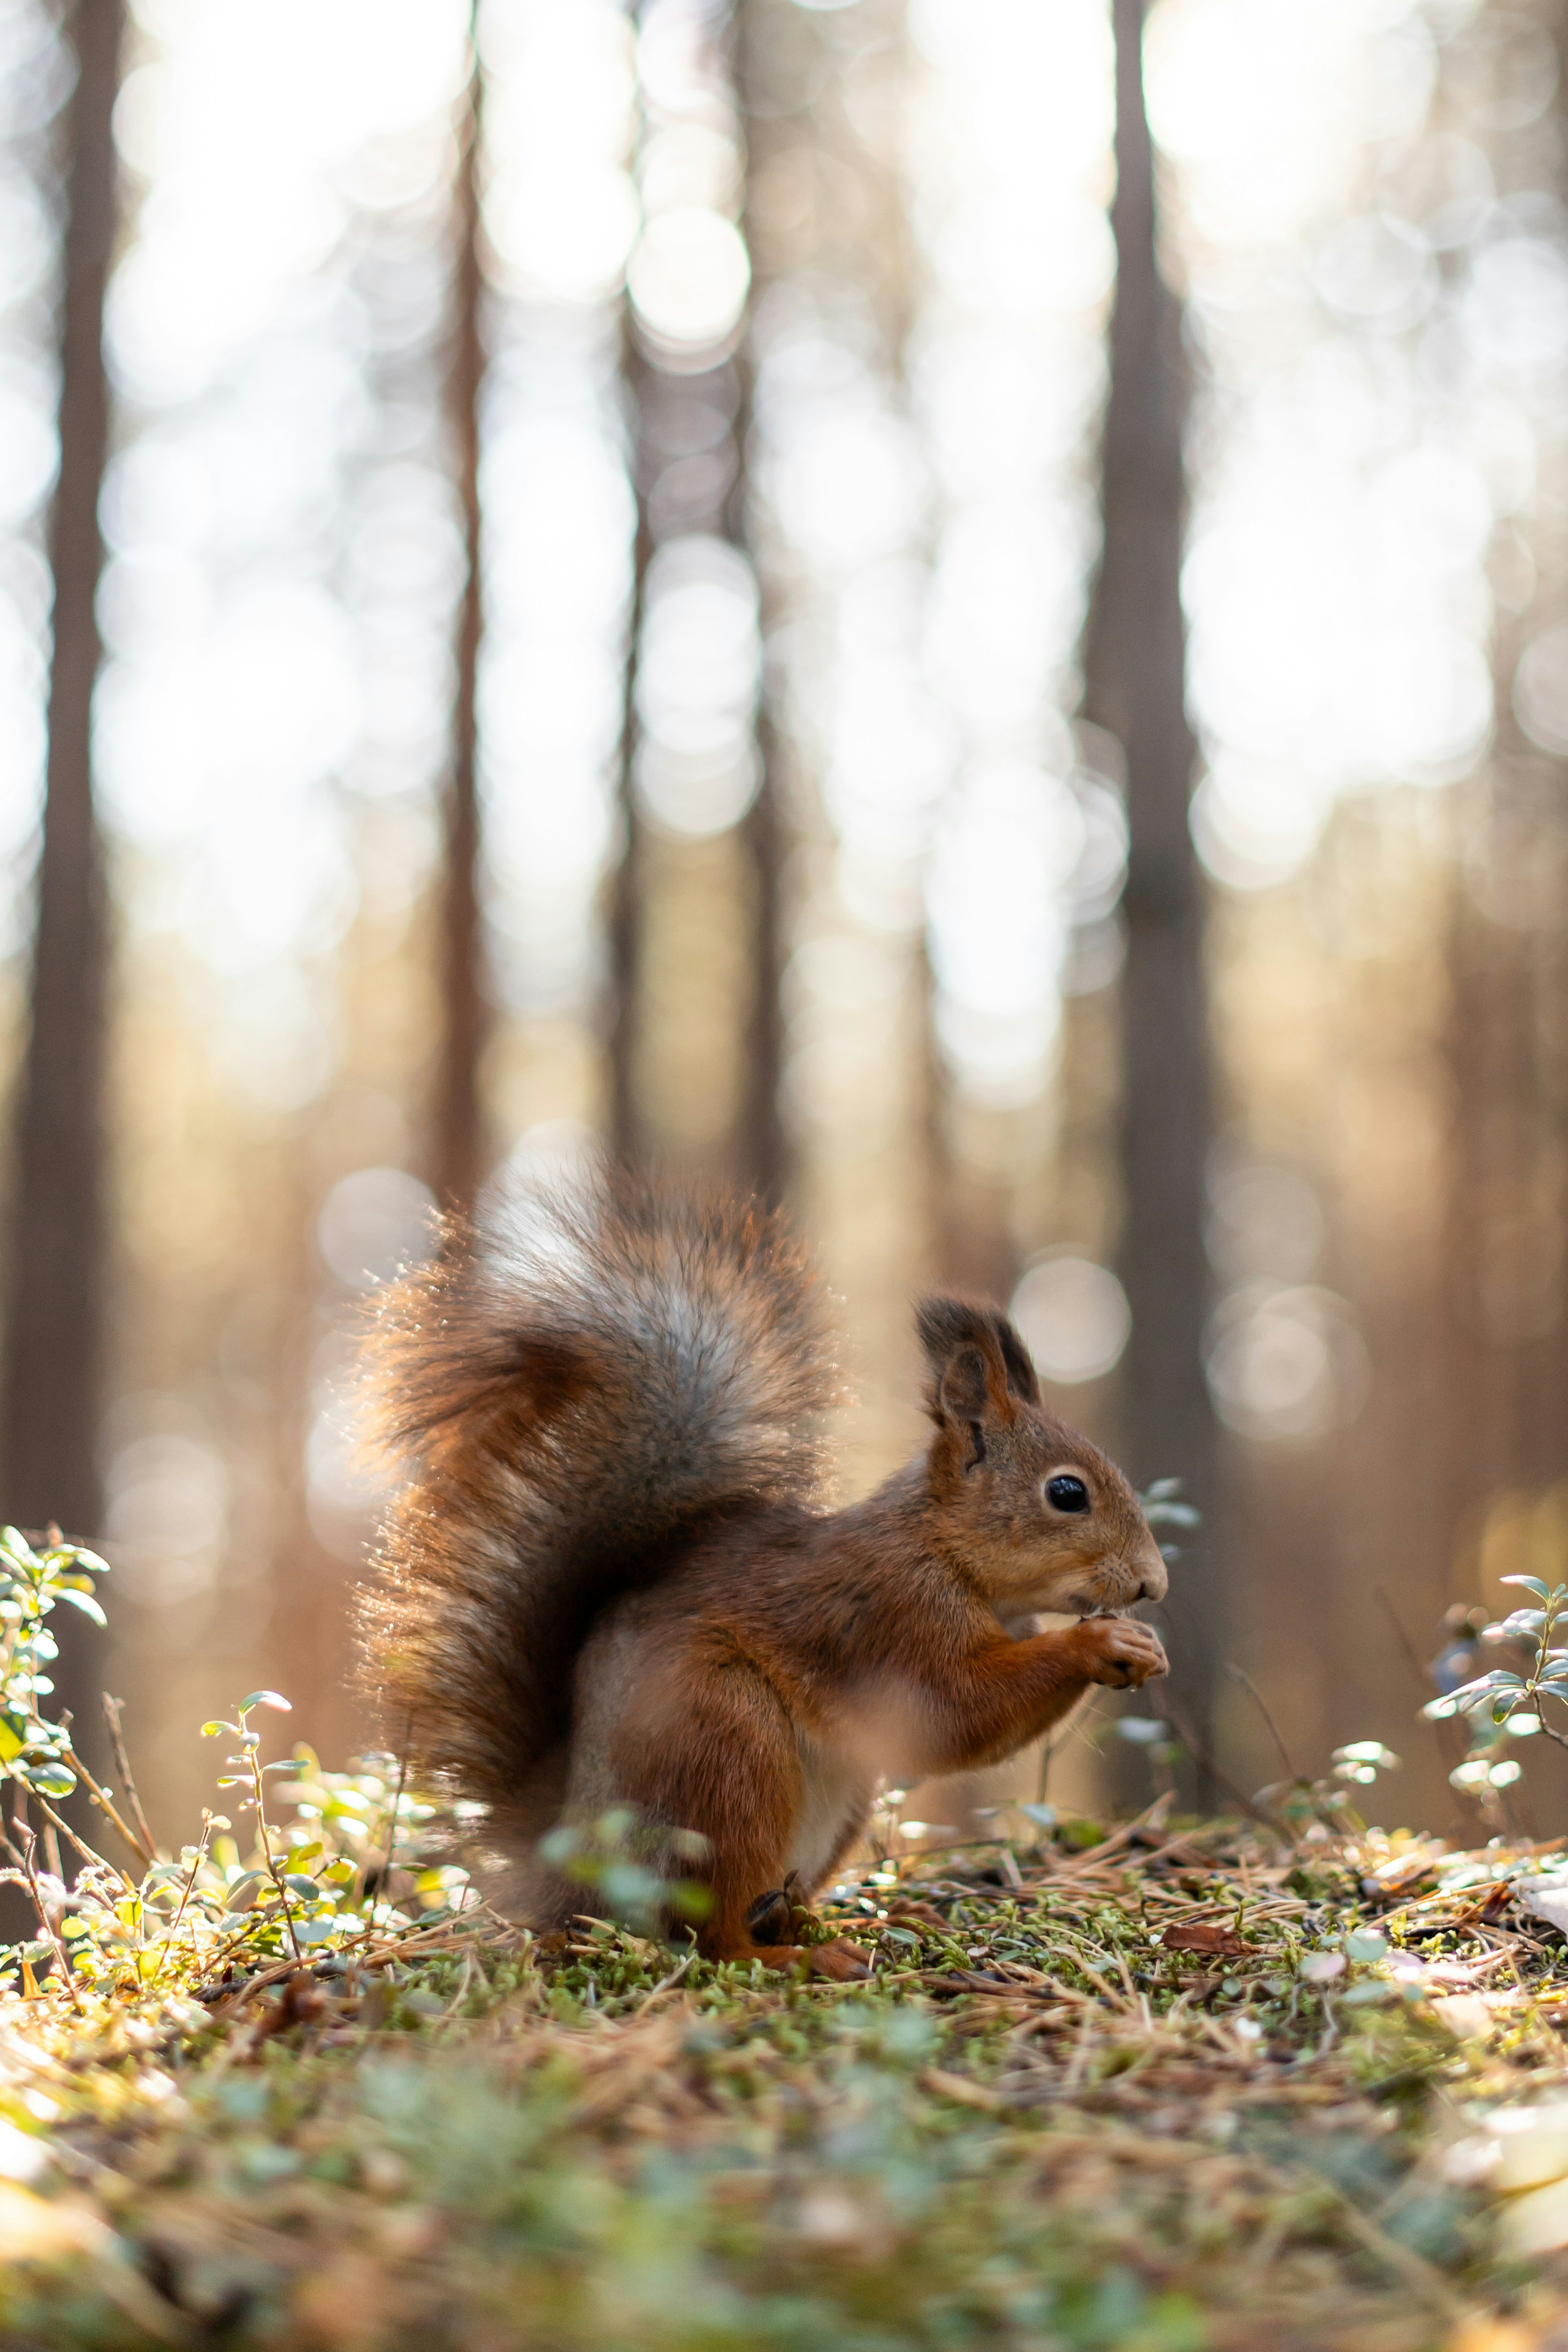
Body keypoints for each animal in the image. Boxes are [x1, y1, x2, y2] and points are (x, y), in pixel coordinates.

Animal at [358, 1175, 1169, 1979]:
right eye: (1066, 1493)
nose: (1153, 1585)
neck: (945, 1552)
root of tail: (575, 1870)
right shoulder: (887, 1613)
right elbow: (951, 1713)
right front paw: (1098, 1646)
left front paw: (1141, 1648)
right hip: (723, 1749)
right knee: (709, 1935)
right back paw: (797, 1958)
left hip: (833, 1800)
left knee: (768, 1902)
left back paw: (848, 1923)